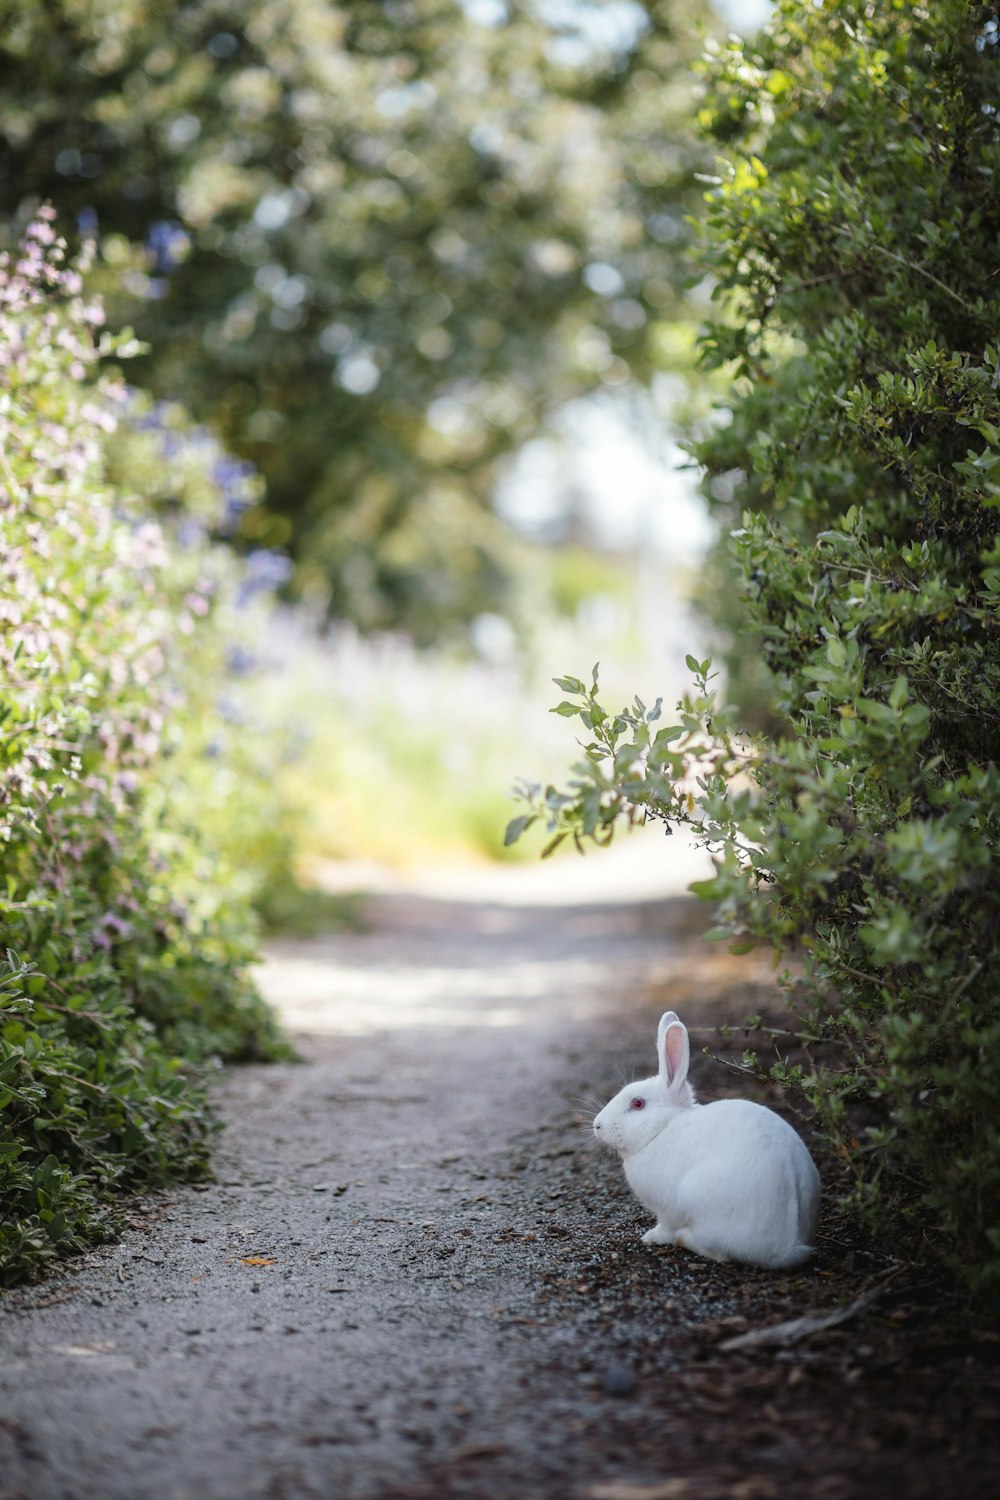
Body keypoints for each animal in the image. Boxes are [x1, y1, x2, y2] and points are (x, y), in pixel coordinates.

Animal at [593, 1008, 821, 1266]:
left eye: (638, 1103)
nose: (597, 1125)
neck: (662, 1128)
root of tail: (787, 1248)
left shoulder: (667, 1209)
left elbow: (665, 1225)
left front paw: (651, 1237)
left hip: (696, 1197)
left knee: (721, 1254)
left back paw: (683, 1238)